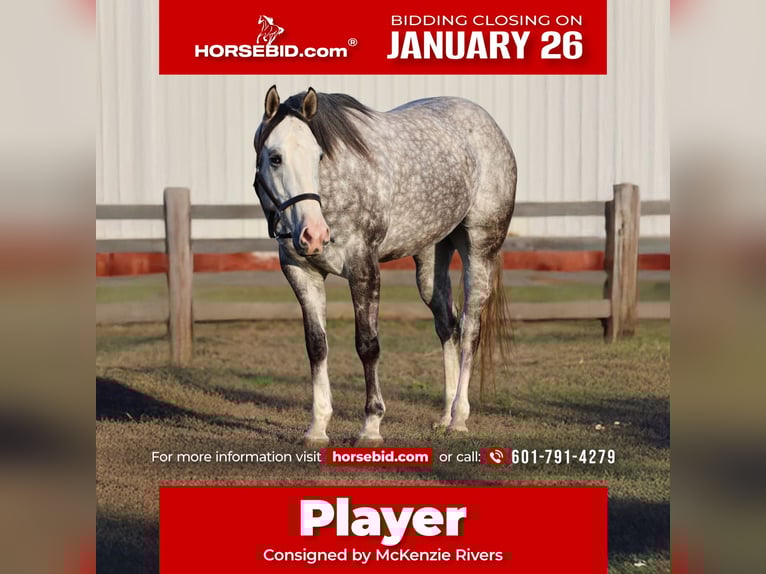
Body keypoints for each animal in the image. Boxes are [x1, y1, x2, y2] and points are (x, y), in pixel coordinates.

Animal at [253, 86, 517, 446]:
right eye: (275, 157)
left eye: (319, 156)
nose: (314, 235)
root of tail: (490, 126)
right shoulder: (300, 272)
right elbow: (317, 346)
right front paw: (317, 428)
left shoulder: (364, 268)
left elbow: (368, 345)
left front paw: (371, 426)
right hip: (431, 261)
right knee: (448, 326)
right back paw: (445, 415)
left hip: (479, 248)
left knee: (470, 329)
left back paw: (460, 419)